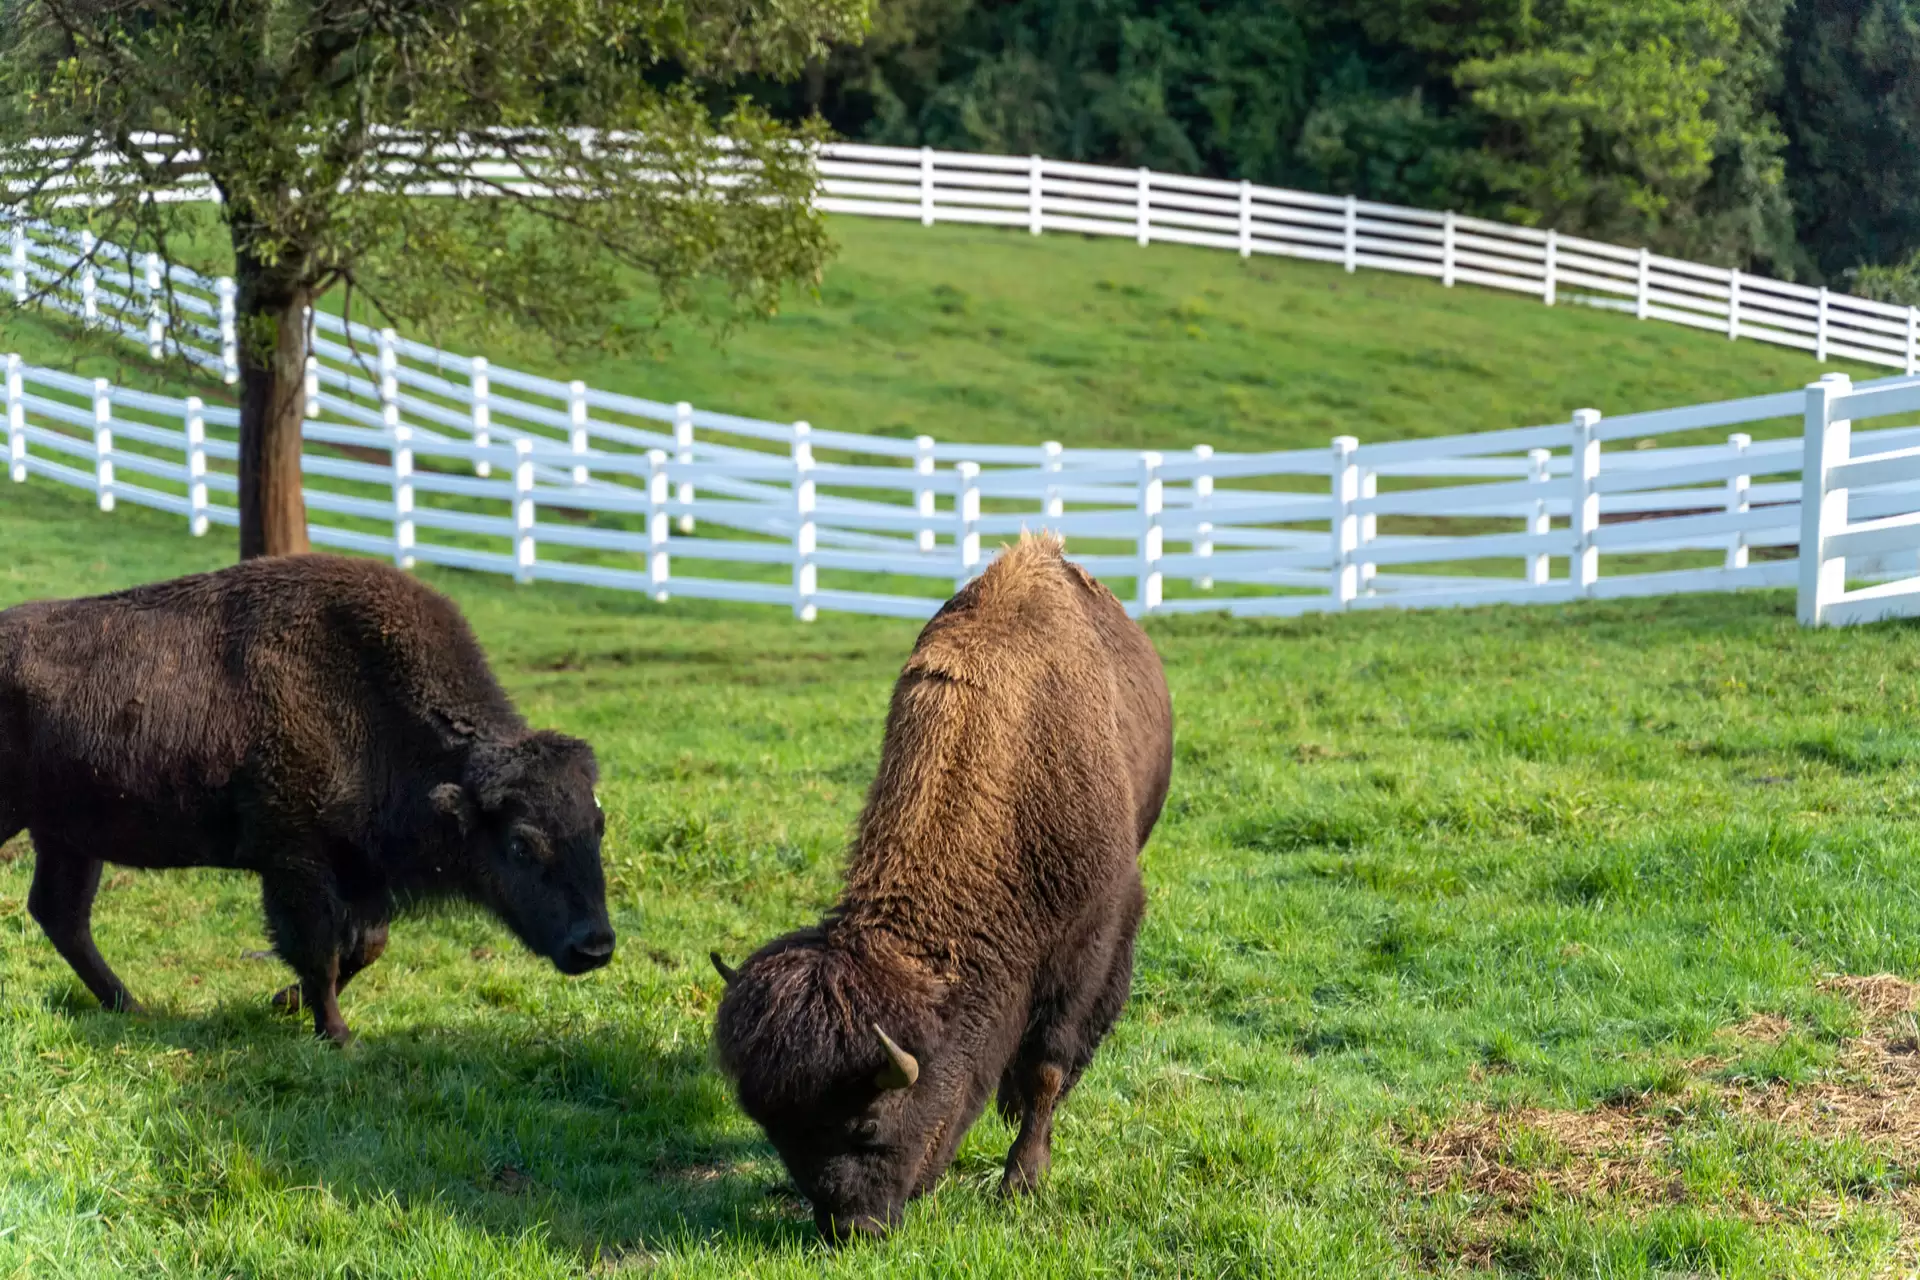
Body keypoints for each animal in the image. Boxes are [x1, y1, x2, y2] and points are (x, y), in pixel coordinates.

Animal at [0, 556, 614, 1043]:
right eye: (520, 844)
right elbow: (319, 949)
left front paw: (284, 1002)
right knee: (61, 914)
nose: (596, 947)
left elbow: (364, 947)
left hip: (68, 838)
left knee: (61, 915)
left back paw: (132, 1007)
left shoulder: (359, 870)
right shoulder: (295, 862)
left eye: (597, 827)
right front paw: (336, 1034)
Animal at [718, 533, 1175, 1243]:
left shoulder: (1091, 939)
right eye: (775, 1131)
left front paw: (1022, 1181)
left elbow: (1047, 1064)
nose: (852, 1229)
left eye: (868, 1121)